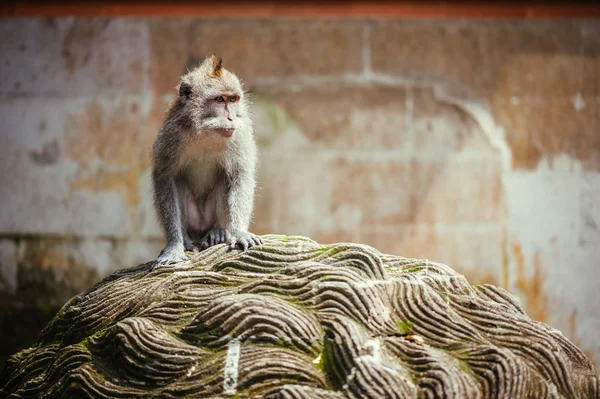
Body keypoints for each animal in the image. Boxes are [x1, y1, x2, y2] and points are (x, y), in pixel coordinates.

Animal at [150, 54, 262, 268]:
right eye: (219, 100)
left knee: (223, 178)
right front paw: (175, 245)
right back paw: (186, 239)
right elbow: (165, 177)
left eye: (233, 99)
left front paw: (239, 232)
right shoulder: (173, 132)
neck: (206, 132)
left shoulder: (240, 131)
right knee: (178, 181)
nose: (230, 118)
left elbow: (240, 176)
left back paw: (218, 231)